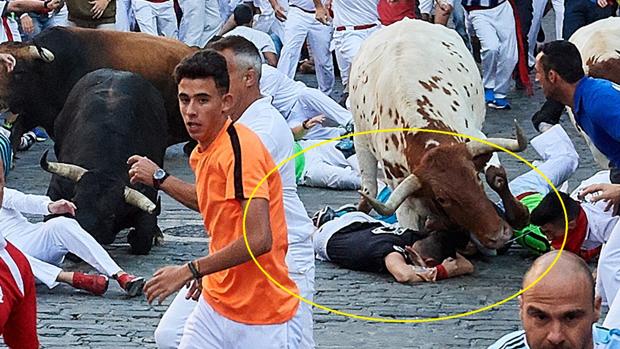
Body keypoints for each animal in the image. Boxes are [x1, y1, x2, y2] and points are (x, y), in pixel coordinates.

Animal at [348, 19, 524, 249]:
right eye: (442, 198)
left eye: (476, 179)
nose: (499, 236)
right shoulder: (404, 199)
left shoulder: (475, 136)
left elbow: (496, 176)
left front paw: (520, 214)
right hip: (361, 141)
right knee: (369, 189)